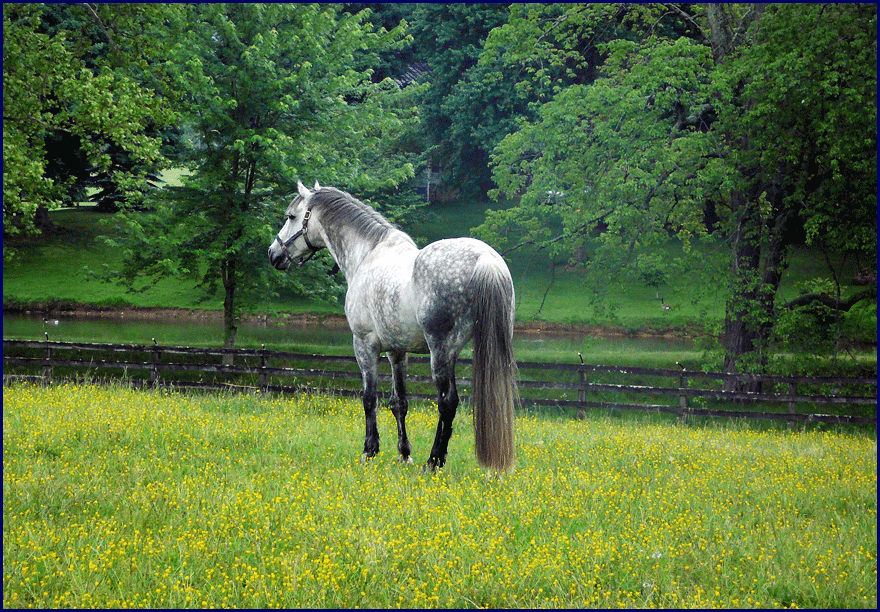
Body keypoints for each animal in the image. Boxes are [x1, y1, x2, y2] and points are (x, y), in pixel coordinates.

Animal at [268, 181, 518, 472]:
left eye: (291, 216)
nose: (274, 253)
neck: (367, 254)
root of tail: (486, 259)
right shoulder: (397, 352)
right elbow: (399, 402)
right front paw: (404, 453)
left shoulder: (364, 344)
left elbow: (369, 399)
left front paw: (369, 451)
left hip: (441, 352)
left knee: (447, 402)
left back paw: (433, 461)